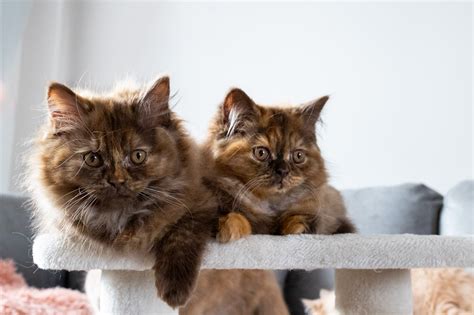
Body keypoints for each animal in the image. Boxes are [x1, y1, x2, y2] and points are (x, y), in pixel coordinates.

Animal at [26, 76, 216, 308]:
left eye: (137, 156)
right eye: (93, 159)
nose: (117, 181)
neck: (120, 217)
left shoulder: (204, 201)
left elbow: (182, 233)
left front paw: (174, 290)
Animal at [202, 87, 354, 243]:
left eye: (298, 156)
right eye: (261, 153)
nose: (283, 170)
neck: (268, 203)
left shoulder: (326, 213)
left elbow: (303, 219)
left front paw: (294, 228)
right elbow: (230, 216)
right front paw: (231, 229)